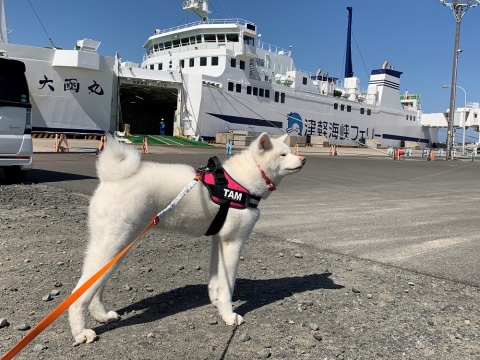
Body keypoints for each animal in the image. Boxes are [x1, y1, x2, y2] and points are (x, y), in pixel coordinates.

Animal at [69, 131, 306, 344]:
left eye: (289, 151)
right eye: (283, 154)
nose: (303, 158)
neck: (242, 182)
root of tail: (113, 176)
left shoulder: (218, 240)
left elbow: (215, 282)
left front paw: (217, 304)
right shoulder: (233, 242)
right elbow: (227, 286)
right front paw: (229, 315)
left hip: (119, 248)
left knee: (95, 287)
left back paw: (102, 315)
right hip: (113, 245)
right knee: (78, 295)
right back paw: (81, 332)